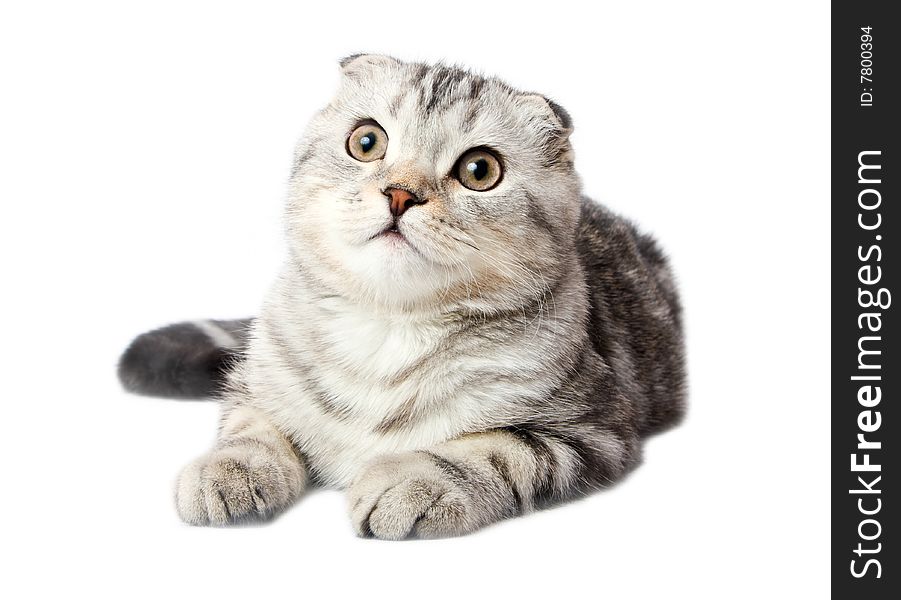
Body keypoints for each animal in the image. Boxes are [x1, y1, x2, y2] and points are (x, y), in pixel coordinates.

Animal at [118, 55, 684, 540]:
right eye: (366, 141)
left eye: (480, 170)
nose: (400, 193)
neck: (386, 331)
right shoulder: (258, 378)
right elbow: (250, 423)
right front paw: (232, 468)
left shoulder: (593, 427)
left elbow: (496, 450)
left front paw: (415, 482)